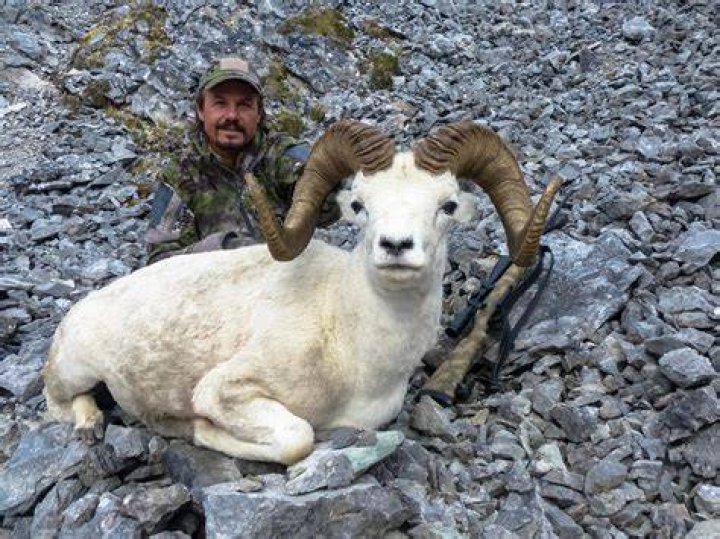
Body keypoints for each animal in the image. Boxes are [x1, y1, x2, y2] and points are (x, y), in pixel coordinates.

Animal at [43, 120, 561, 464]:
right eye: (360, 205)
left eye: (447, 205)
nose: (395, 246)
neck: (354, 351)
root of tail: (78, 313)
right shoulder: (227, 390)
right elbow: (298, 438)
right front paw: (195, 431)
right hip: (74, 371)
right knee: (60, 402)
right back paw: (91, 425)